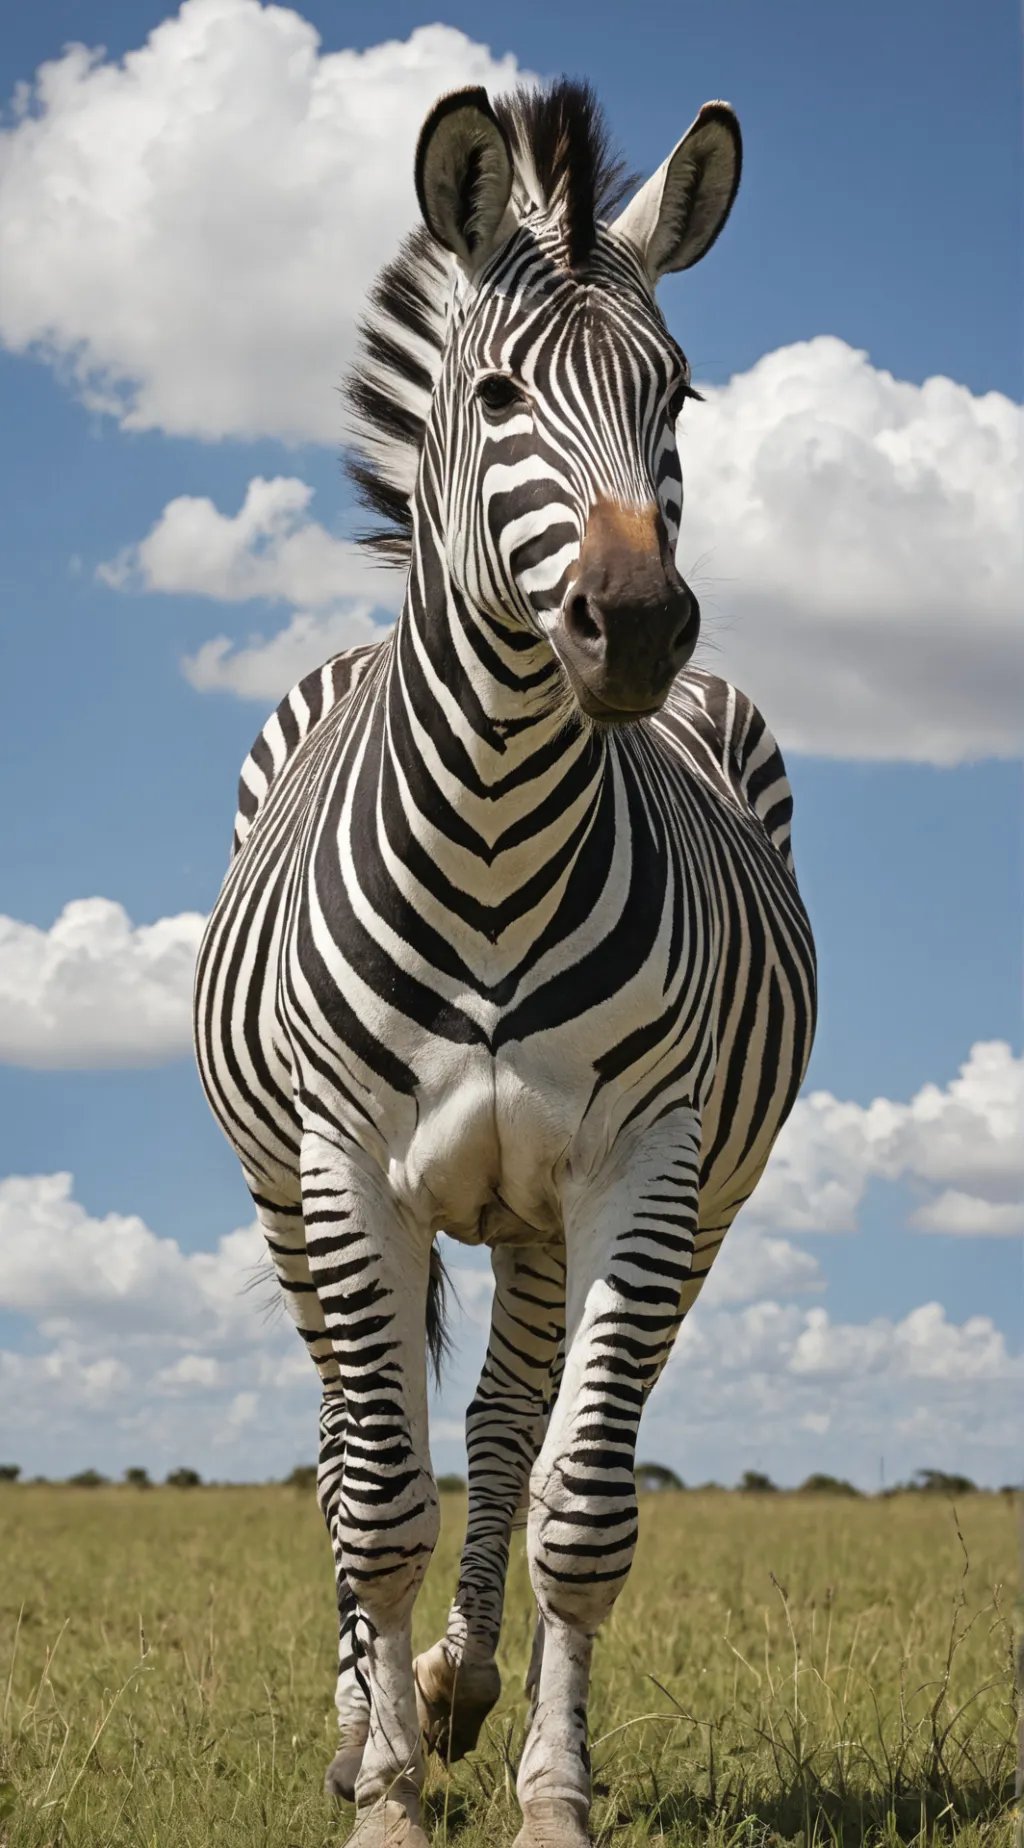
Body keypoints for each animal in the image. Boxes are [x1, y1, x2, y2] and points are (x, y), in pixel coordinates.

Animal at [195, 79, 816, 1848]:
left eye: (678, 394)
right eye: (494, 393)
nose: (639, 627)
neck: (486, 833)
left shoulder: (645, 1169)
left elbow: (580, 1507)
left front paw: (548, 1785)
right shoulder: (346, 1164)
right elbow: (378, 1500)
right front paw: (388, 1793)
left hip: (601, 1215)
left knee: (512, 1425)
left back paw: (473, 1686)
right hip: (287, 1192)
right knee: (355, 1444)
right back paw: (370, 1718)